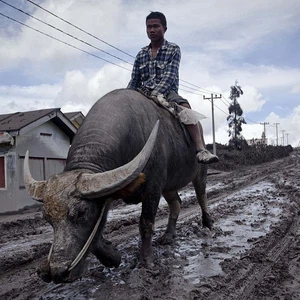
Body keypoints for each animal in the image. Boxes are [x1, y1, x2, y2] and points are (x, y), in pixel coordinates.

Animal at [23, 88, 212, 284]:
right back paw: (168, 236)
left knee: (201, 195)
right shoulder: (106, 189)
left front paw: (146, 263)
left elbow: (146, 224)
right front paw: (112, 257)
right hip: (169, 186)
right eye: (47, 218)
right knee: (176, 203)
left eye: (81, 213)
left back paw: (207, 223)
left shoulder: (153, 187)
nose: (57, 272)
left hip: (199, 172)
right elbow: (96, 234)